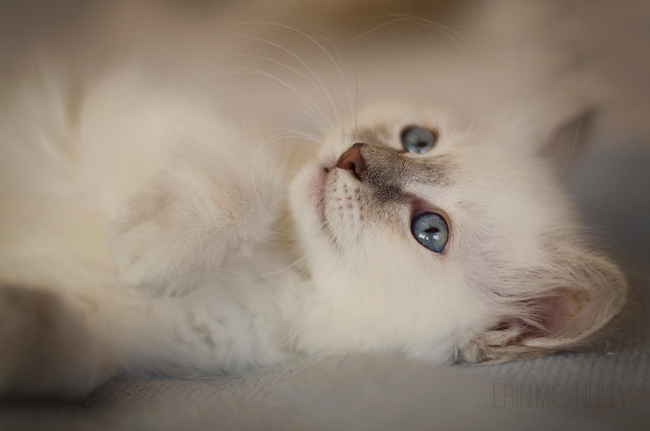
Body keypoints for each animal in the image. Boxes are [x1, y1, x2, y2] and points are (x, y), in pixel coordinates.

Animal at [0, 33, 628, 398]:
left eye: (431, 232)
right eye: (418, 140)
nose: (353, 157)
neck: (287, 267)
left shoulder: (135, 345)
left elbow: (75, 363)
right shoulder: (131, 111)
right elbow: (249, 183)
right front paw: (157, 250)